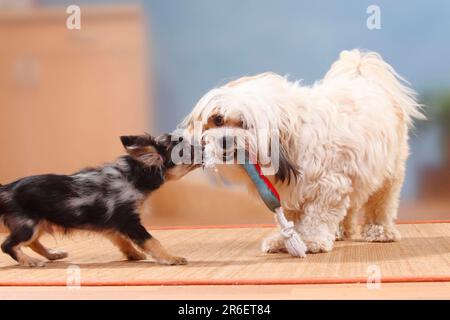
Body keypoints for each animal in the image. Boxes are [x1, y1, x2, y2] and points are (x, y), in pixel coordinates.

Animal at [0, 134, 197, 266]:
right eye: (188, 151)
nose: (203, 145)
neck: (131, 176)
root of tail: (6, 189)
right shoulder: (129, 220)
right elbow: (151, 241)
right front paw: (171, 258)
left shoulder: (113, 224)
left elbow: (122, 240)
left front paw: (132, 254)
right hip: (28, 224)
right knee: (8, 245)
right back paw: (30, 261)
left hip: (39, 223)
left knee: (31, 243)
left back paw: (52, 255)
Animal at [180, 49, 426, 255]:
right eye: (217, 119)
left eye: (244, 124)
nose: (225, 140)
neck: (292, 131)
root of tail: (362, 73)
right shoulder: (290, 192)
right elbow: (292, 219)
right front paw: (284, 240)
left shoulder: (329, 186)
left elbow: (316, 217)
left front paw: (310, 241)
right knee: (351, 205)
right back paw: (341, 231)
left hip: (388, 172)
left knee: (382, 202)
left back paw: (380, 231)